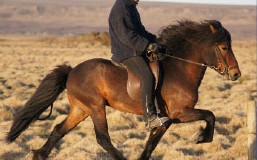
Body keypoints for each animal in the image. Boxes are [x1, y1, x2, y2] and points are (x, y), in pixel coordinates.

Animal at [7, 20, 240, 160]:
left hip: (81, 109)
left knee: (58, 130)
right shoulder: (179, 114)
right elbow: (210, 115)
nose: (236, 74)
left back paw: (40, 154)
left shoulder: (167, 120)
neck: (179, 69)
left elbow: (151, 144)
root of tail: (72, 71)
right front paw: (201, 138)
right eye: (224, 47)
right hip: (95, 107)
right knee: (102, 138)